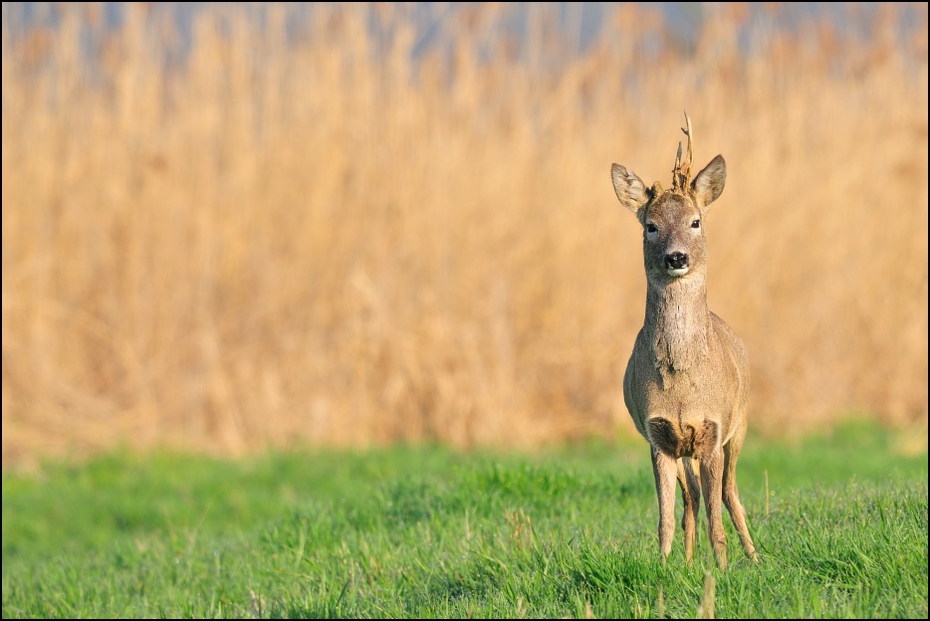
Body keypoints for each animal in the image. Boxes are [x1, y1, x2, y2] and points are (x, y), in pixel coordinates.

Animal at [608, 114, 752, 568]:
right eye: (650, 226)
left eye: (696, 221)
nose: (676, 257)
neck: (682, 383)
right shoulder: (658, 436)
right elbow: (666, 517)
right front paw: (666, 564)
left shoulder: (714, 428)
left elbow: (716, 517)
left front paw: (721, 567)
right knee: (692, 499)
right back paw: (689, 560)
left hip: (740, 424)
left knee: (728, 493)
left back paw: (753, 555)